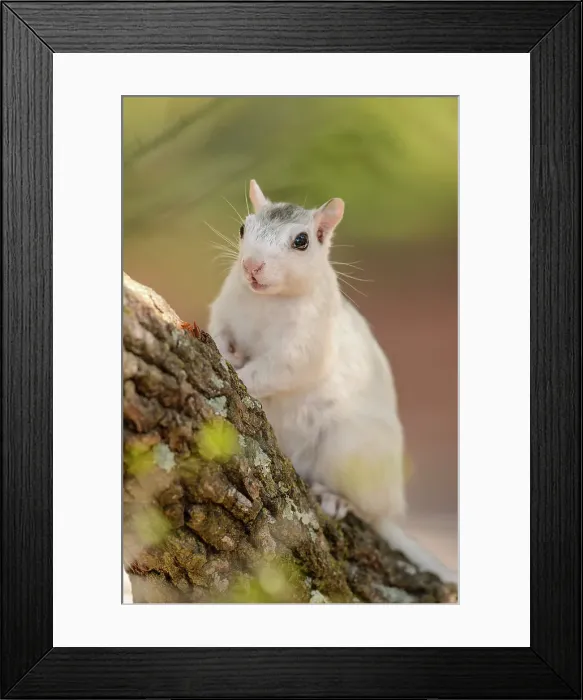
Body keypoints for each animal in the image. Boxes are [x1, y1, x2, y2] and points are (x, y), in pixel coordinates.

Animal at [208, 180, 457, 584]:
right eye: (244, 228)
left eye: (302, 241)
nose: (251, 267)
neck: (267, 301)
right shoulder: (226, 309)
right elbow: (218, 331)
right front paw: (222, 349)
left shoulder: (306, 342)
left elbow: (280, 369)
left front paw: (241, 377)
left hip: (348, 450)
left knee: (367, 511)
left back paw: (335, 499)